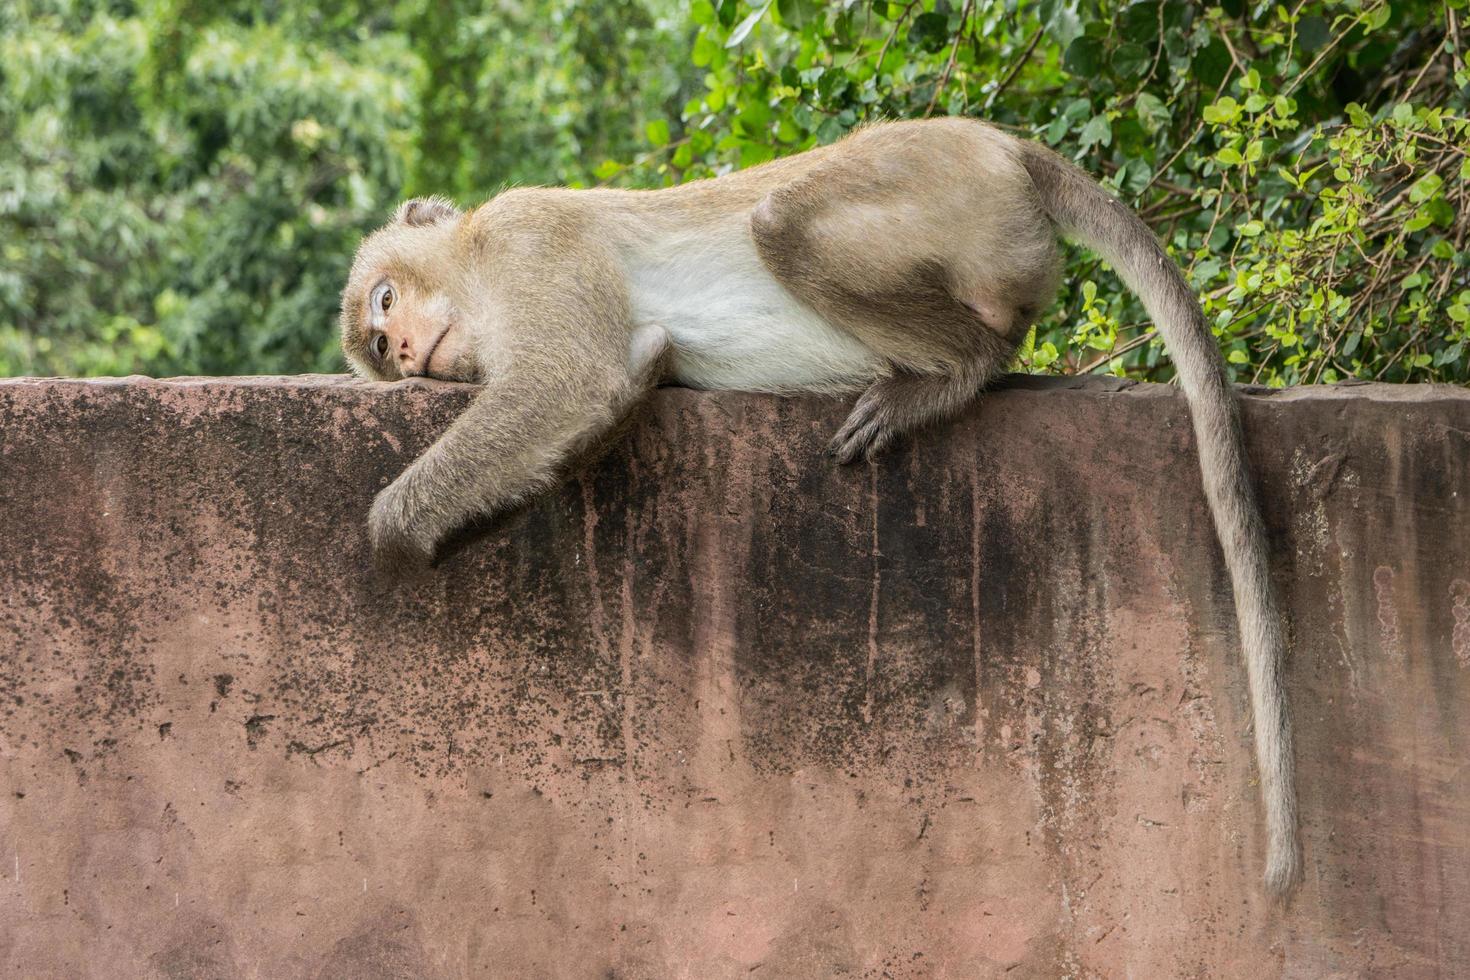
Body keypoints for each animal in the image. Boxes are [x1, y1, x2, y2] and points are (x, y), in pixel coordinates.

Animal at [341, 115, 1299, 899]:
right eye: (379, 353)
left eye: (384, 303)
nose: (400, 349)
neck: (474, 264)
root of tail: (999, 143)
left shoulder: (526, 237)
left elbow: (566, 378)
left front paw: (395, 537)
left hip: (943, 189)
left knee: (785, 224)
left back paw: (957, 367)